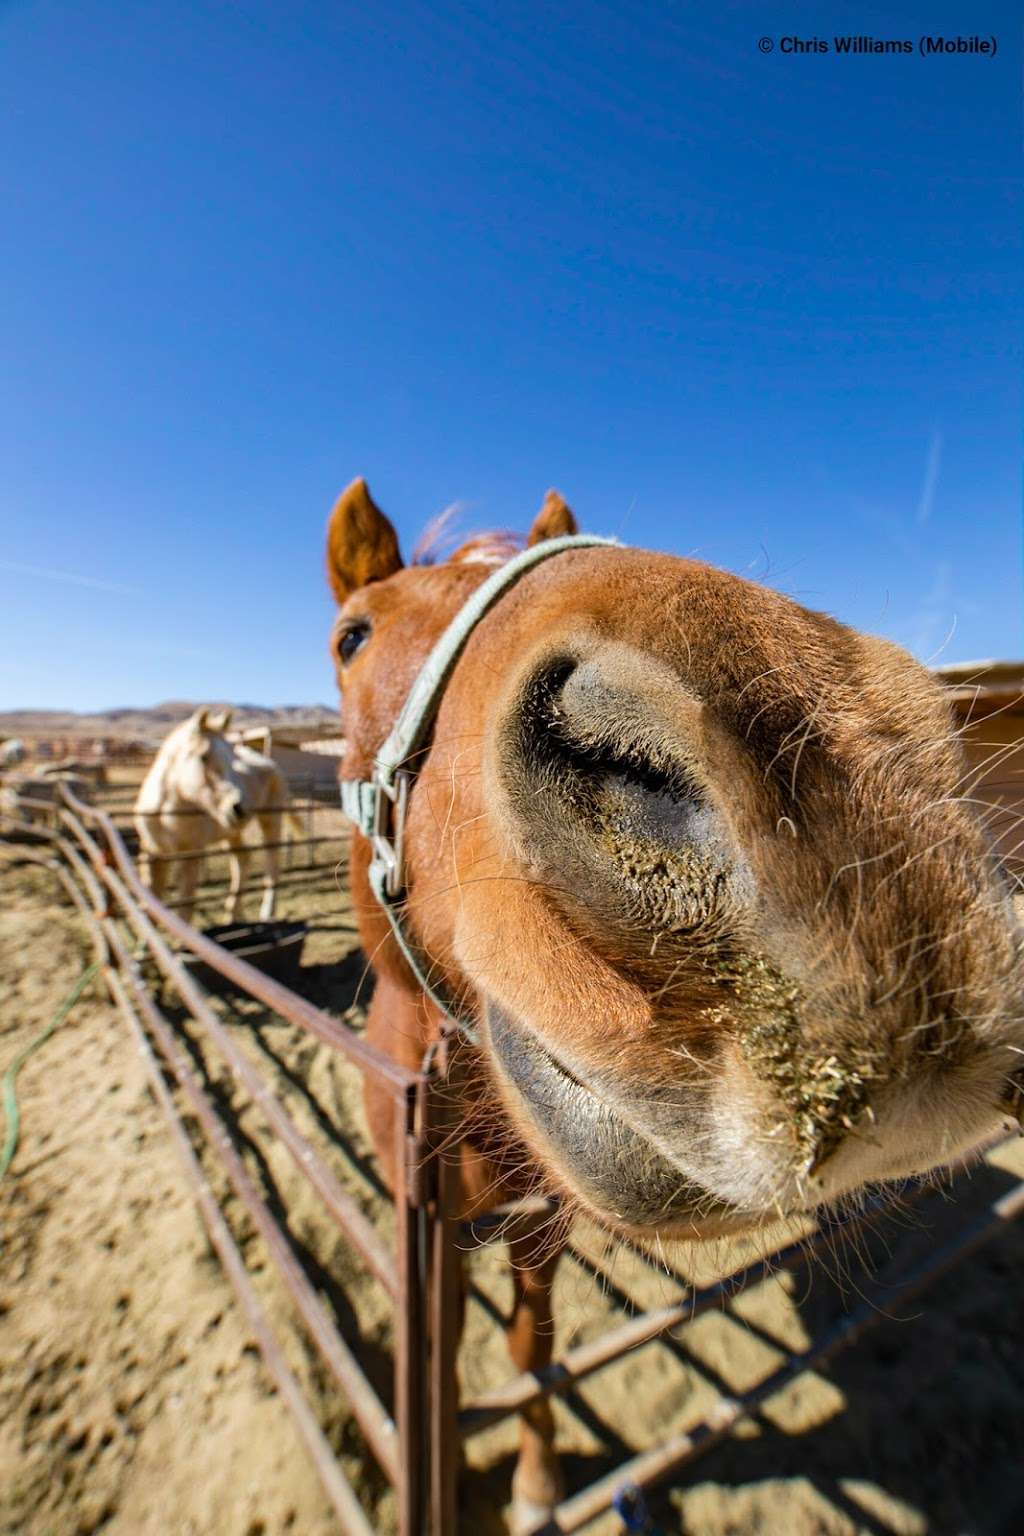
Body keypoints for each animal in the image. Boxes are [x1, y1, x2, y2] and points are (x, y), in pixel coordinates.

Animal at [134, 706, 294, 921]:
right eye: (204, 756)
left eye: (233, 759)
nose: (238, 807)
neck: (164, 812)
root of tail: (271, 763)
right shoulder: (152, 852)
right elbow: (152, 899)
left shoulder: (191, 854)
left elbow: (186, 904)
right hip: (232, 831)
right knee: (243, 859)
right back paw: (234, 914)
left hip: (270, 820)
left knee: (272, 865)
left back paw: (267, 912)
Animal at [328, 476, 1024, 1523]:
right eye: (351, 638)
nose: (855, 821)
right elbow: (441, 1372)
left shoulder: (540, 1226)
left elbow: (531, 1350)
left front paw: (536, 1487)